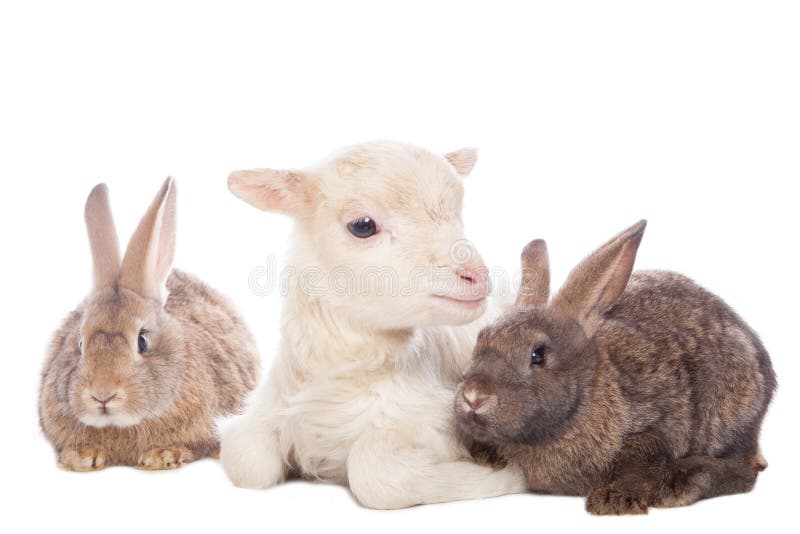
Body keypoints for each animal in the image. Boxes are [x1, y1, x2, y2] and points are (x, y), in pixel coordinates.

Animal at [220, 141, 527, 509]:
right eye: (363, 225)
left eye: (458, 211)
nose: (477, 276)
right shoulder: (266, 410)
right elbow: (247, 463)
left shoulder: (437, 420)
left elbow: (373, 472)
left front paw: (503, 476)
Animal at [455, 220, 776, 514]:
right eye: (481, 339)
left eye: (538, 355)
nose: (474, 397)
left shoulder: (653, 428)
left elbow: (643, 462)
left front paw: (614, 501)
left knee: (743, 470)